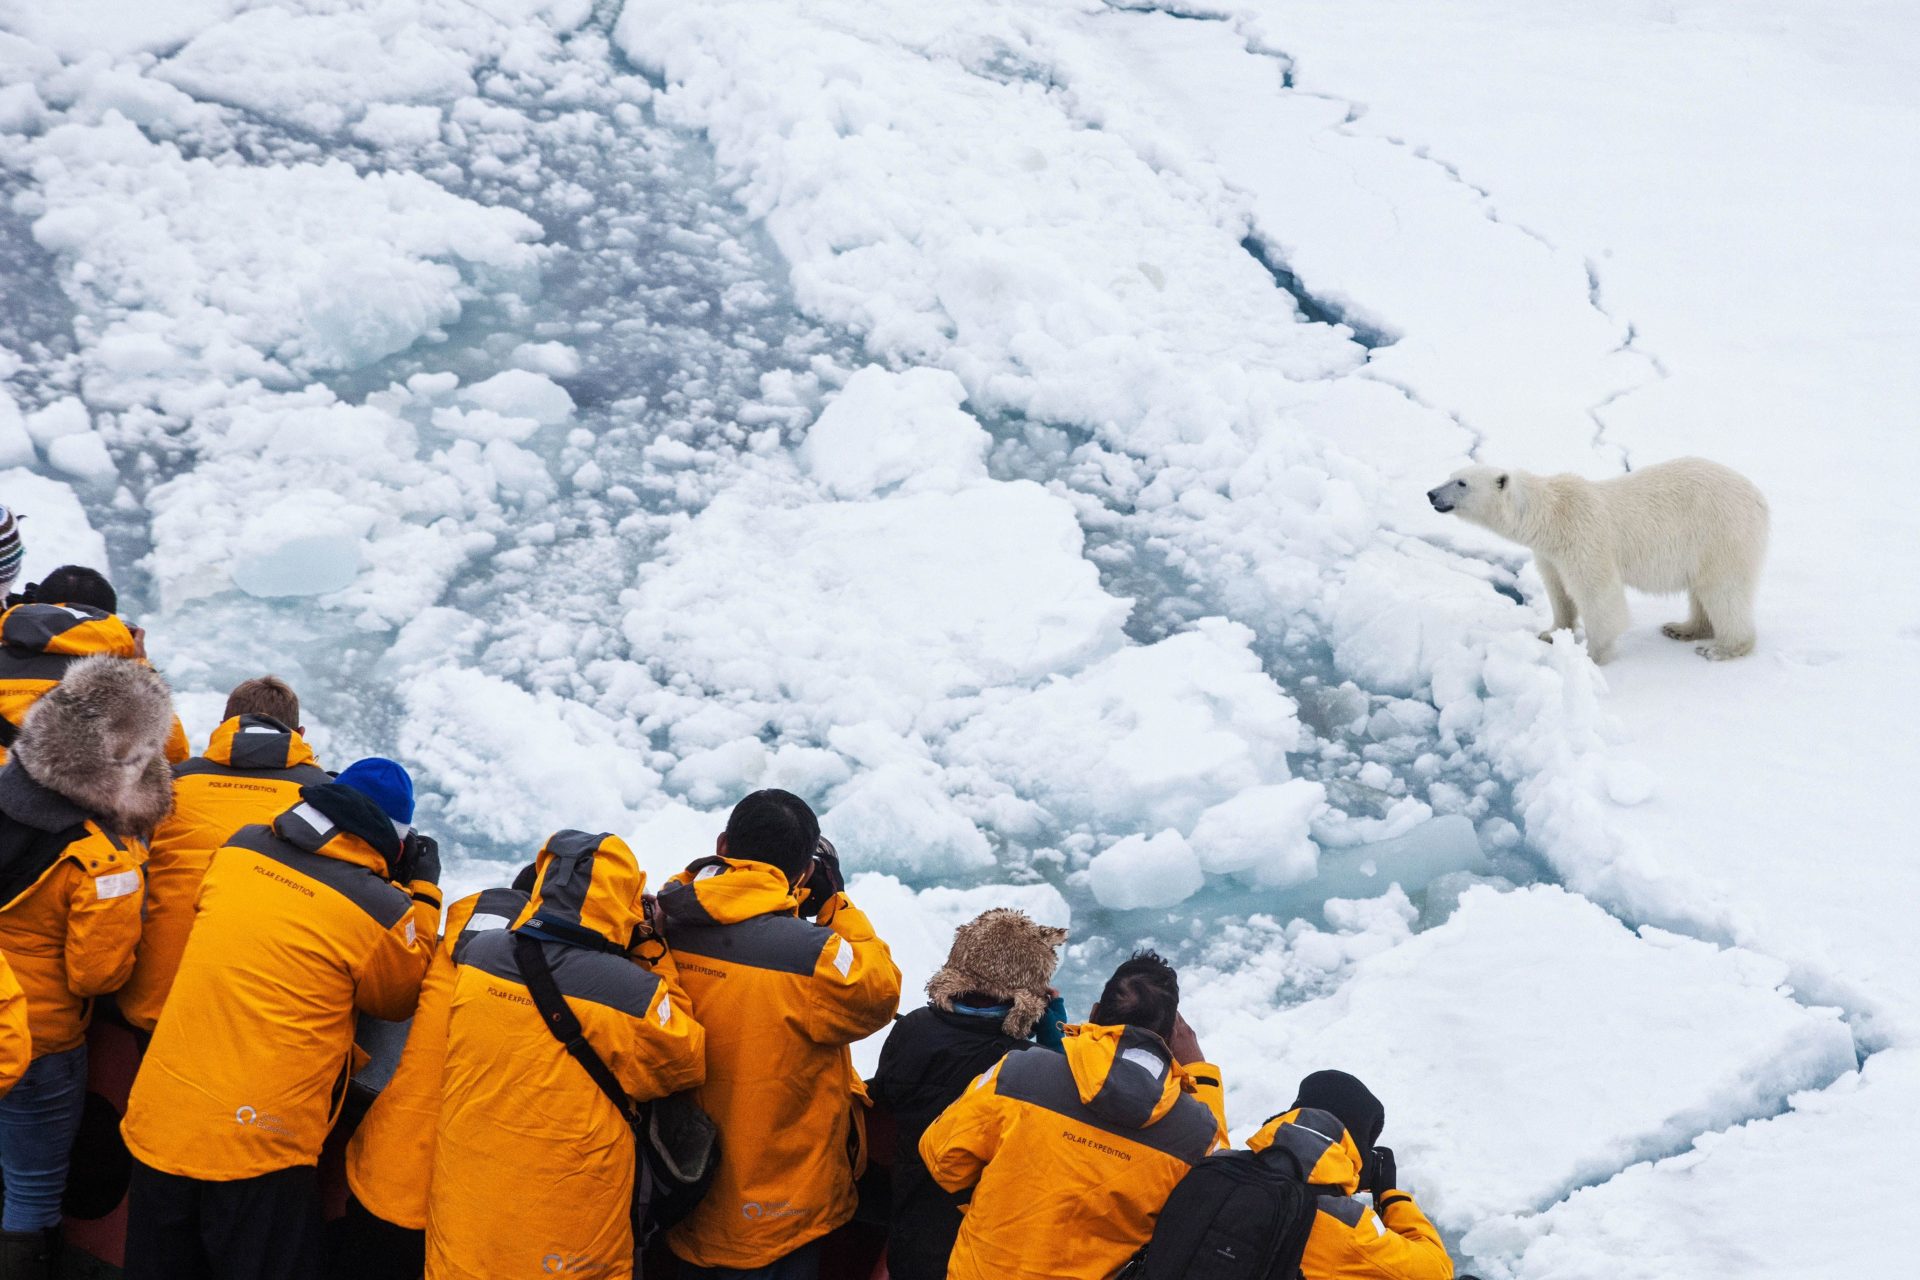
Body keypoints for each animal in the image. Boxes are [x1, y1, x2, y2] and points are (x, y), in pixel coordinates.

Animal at [1426, 457, 1769, 663]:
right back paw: (1682, 628)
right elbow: (1558, 591)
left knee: (1723, 591)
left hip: (1720, 534)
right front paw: (1551, 633)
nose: (1431, 494)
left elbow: (1598, 595)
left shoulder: (1583, 538)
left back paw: (1721, 647)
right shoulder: (1550, 553)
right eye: (1451, 475)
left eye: (1462, 483)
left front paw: (1591, 654)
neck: (1551, 516)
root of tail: (1759, 497)